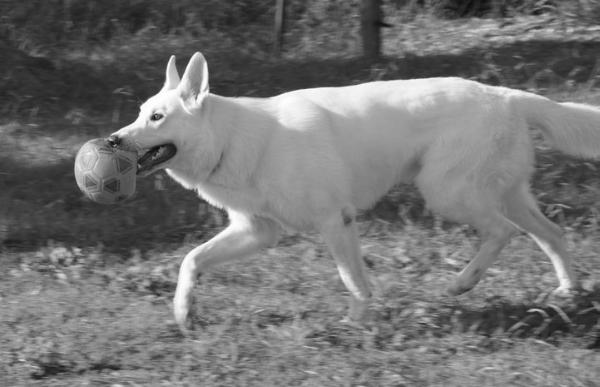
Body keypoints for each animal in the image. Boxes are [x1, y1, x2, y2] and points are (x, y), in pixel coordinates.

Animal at [110, 50, 596, 330]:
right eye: (139, 113)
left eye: (156, 117)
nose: (112, 140)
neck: (233, 139)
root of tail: (507, 96)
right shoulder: (258, 232)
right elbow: (191, 261)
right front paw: (183, 312)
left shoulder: (336, 222)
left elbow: (353, 280)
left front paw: (357, 322)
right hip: (506, 196)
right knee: (552, 235)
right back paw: (567, 293)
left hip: (445, 193)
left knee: (501, 233)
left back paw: (463, 283)